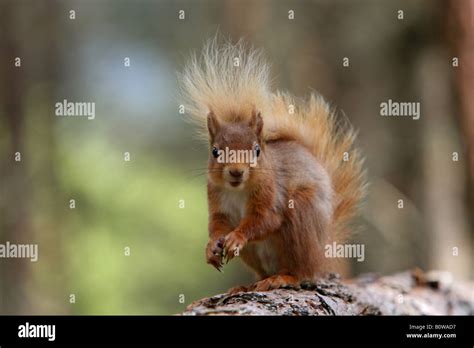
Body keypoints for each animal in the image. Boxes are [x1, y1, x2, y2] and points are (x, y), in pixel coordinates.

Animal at [180, 38, 364, 294]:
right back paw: (248, 285)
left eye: (257, 150)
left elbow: (266, 220)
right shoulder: (216, 199)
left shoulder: (272, 194)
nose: (236, 172)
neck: (238, 191)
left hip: (301, 216)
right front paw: (210, 248)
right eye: (215, 151)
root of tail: (323, 251)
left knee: (301, 271)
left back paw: (282, 278)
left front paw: (237, 237)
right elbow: (217, 225)